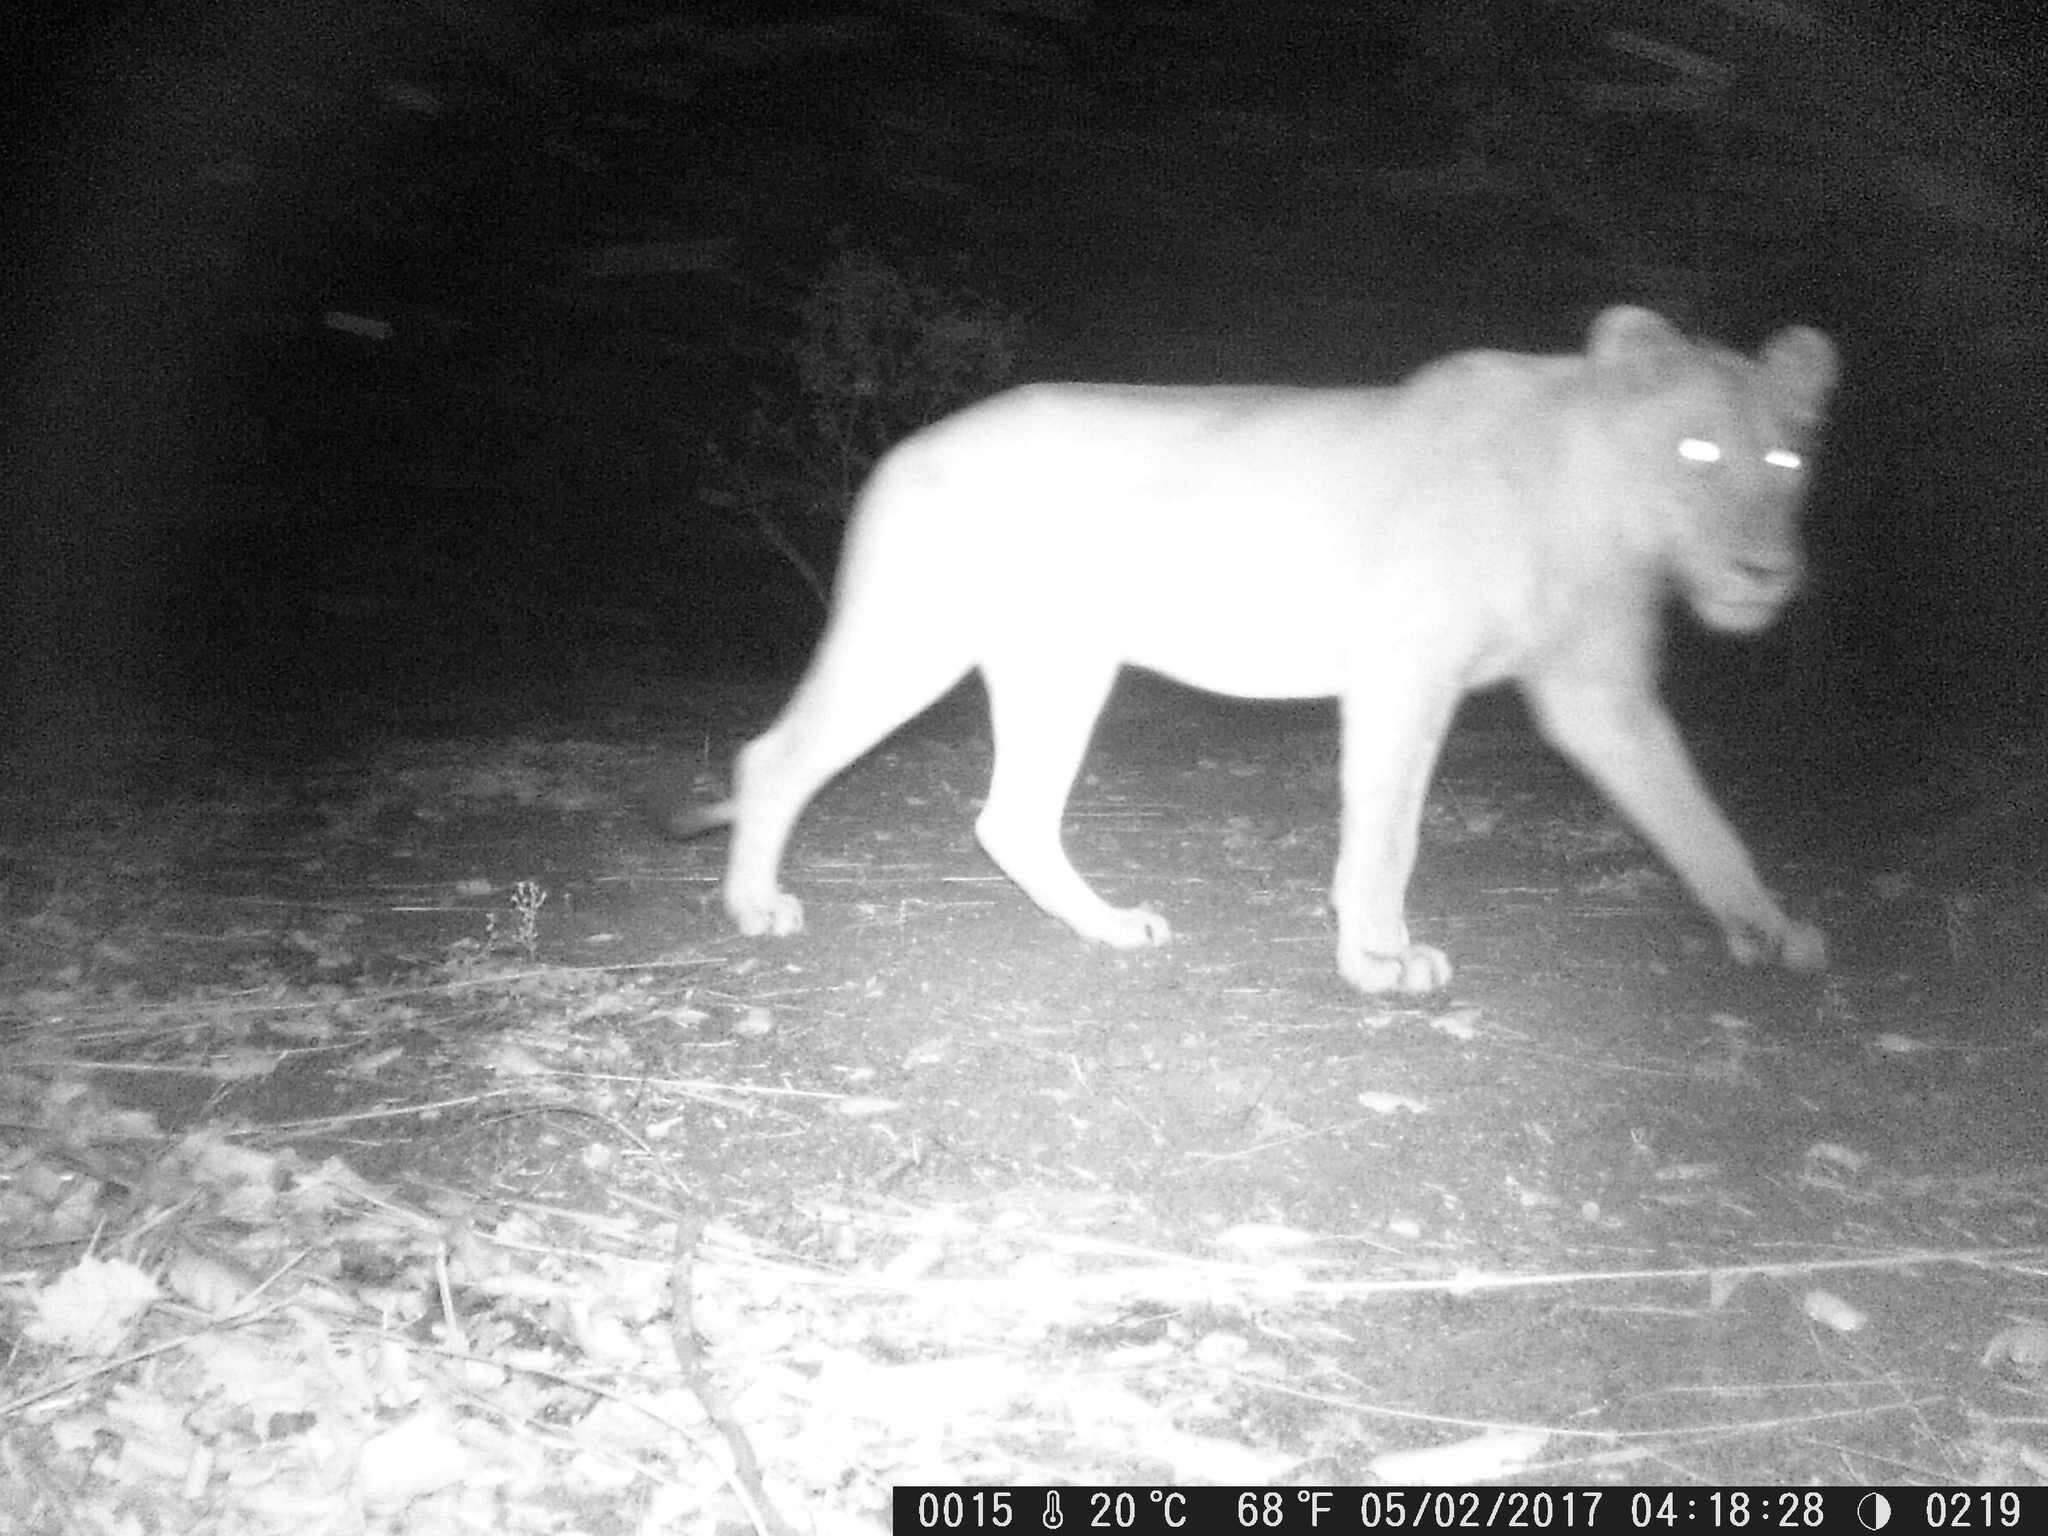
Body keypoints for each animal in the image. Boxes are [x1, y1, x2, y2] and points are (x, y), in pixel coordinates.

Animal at [671, 307, 1843, 999]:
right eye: (1697, 450)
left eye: (1786, 458)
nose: (1765, 574)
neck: (1599, 497)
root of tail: (901, 447)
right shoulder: (1405, 671)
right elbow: (1386, 835)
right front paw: (1378, 959)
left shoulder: (1597, 691)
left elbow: (1694, 814)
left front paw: (1769, 928)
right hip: (914, 637)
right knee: (775, 759)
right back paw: (753, 908)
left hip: (1061, 665)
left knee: (1012, 817)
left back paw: (1109, 929)